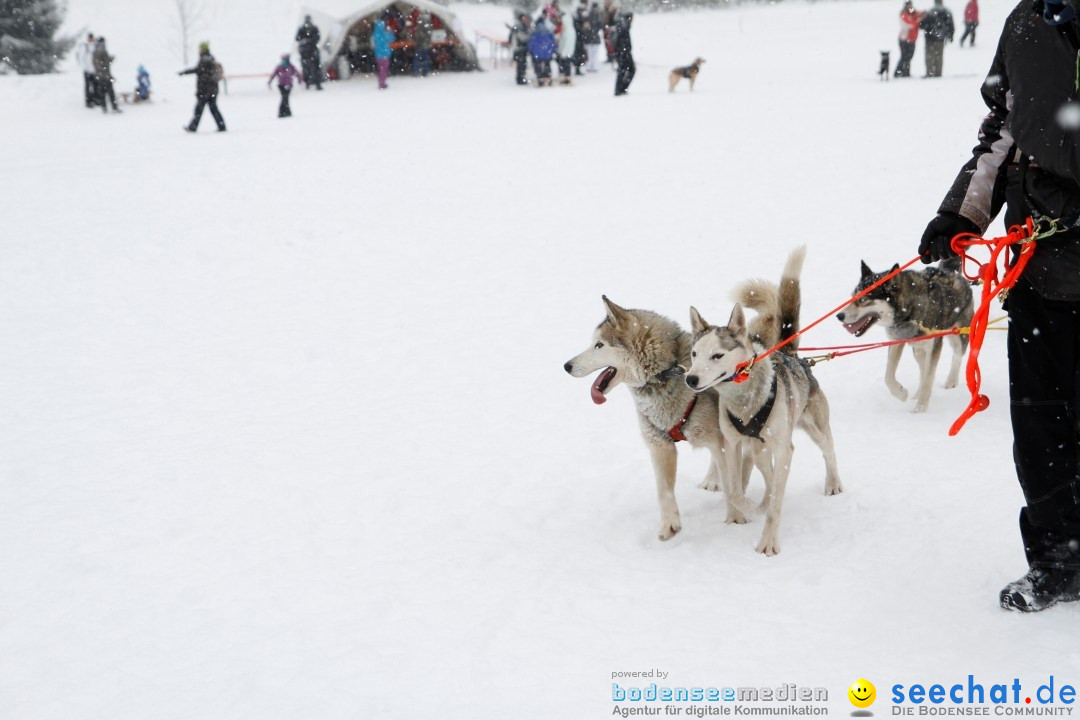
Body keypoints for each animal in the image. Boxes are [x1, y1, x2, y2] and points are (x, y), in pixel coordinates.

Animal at [565, 295, 751, 537]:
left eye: (599, 345)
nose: (566, 366)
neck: (664, 374)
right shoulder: (660, 446)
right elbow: (664, 491)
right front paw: (669, 526)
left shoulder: (720, 441)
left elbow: (731, 484)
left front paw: (736, 519)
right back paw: (711, 480)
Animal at [682, 248, 842, 557]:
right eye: (694, 353)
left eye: (717, 356)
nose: (691, 379)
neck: (744, 401)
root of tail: (792, 355)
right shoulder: (732, 444)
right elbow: (734, 489)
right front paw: (746, 508)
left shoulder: (783, 448)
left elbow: (774, 503)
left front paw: (768, 540)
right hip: (757, 449)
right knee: (764, 471)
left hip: (815, 429)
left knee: (829, 452)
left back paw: (833, 483)